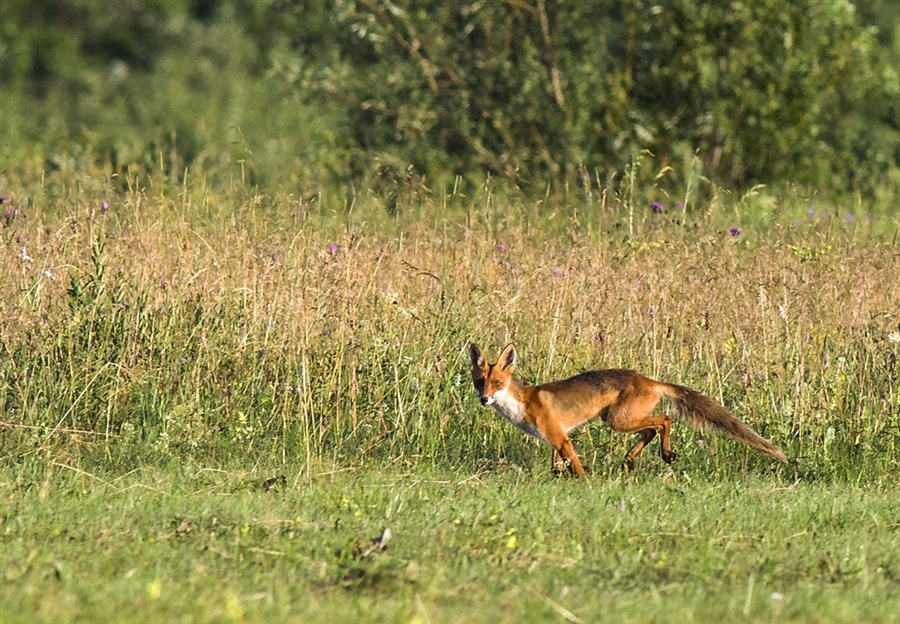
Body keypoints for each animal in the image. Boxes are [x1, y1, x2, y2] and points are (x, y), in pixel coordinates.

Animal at [468, 344, 784, 476]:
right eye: (479, 382)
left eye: (497, 383)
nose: (485, 399)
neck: (521, 403)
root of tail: (648, 379)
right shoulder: (554, 441)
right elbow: (558, 466)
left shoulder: (560, 437)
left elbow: (576, 467)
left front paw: (586, 482)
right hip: (619, 419)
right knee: (652, 429)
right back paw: (632, 459)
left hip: (617, 420)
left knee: (664, 419)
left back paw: (664, 454)